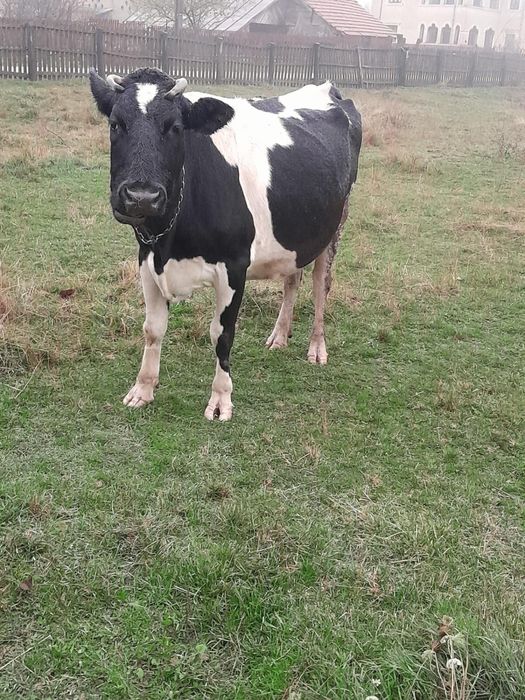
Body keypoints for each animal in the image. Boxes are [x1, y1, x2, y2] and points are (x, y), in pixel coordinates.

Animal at [89, 67, 362, 421]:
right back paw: (279, 335)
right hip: (296, 232)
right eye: (115, 124)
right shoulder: (147, 258)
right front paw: (143, 389)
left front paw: (220, 399)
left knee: (320, 285)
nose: (141, 197)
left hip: (335, 225)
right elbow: (153, 328)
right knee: (293, 278)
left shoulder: (234, 266)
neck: (171, 243)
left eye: (175, 127)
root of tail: (327, 88)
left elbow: (222, 334)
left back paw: (317, 347)